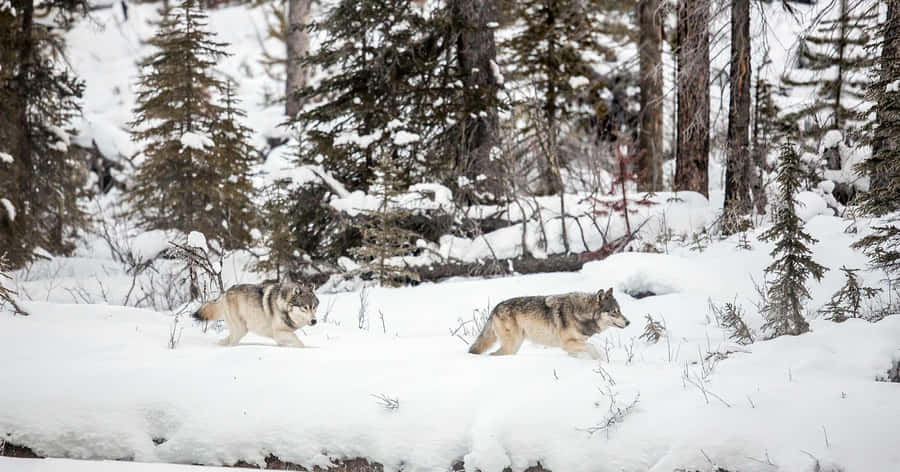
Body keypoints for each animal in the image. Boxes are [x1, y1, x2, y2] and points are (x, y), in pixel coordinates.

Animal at [468, 288, 629, 359]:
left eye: (620, 310)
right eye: (614, 312)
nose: (628, 322)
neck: (581, 313)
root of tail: (496, 307)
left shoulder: (573, 347)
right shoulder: (567, 344)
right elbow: (593, 347)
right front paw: (601, 360)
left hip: (515, 345)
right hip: (511, 346)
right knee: (494, 354)